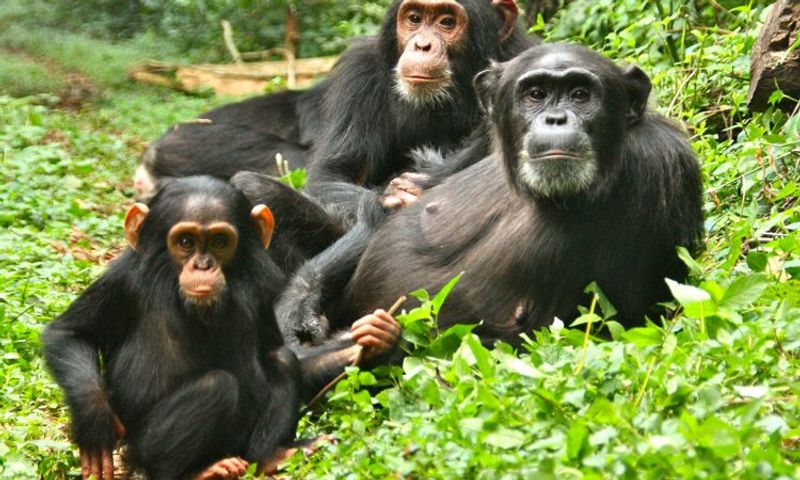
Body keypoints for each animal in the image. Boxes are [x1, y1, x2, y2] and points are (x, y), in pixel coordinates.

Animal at [39, 176, 400, 480]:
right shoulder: (123, 279)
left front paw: (380, 337)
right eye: (185, 241)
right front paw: (94, 422)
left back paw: (272, 456)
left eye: (220, 242)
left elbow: (287, 352)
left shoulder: (265, 288)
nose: (203, 265)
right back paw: (199, 471)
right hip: (141, 449)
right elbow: (70, 334)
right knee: (217, 386)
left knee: (281, 362)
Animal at [278, 43, 704, 350]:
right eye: (535, 94)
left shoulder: (655, 167)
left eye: (581, 95)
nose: (555, 119)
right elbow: (389, 208)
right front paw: (298, 309)